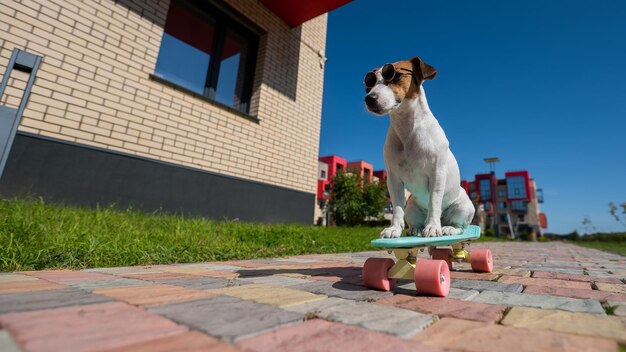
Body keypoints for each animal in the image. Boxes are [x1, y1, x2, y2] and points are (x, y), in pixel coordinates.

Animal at [364, 56, 470, 238]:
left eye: (395, 75)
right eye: (369, 83)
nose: (369, 98)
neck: (407, 127)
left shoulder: (437, 173)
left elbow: (434, 201)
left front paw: (433, 227)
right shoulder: (393, 179)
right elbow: (397, 208)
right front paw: (394, 229)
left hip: (463, 207)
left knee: (460, 226)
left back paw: (447, 228)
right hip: (411, 207)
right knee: (413, 219)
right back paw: (415, 229)